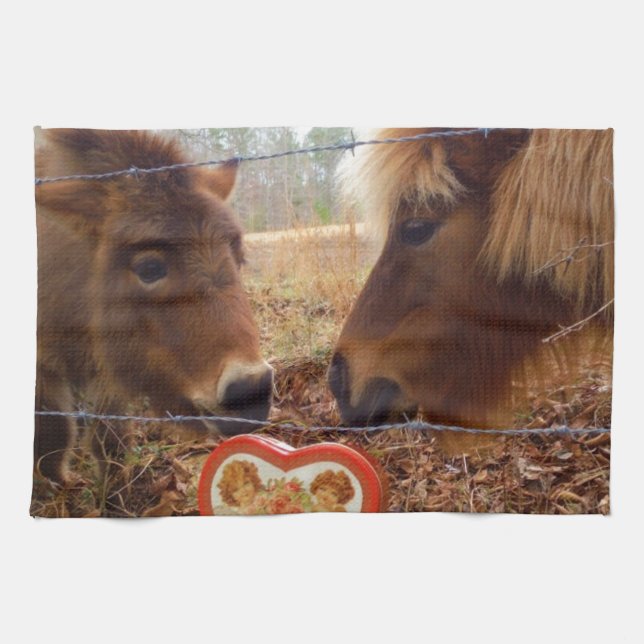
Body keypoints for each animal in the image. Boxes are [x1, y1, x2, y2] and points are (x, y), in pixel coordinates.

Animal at [35, 129, 273, 484]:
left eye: (238, 256)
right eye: (149, 268)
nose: (250, 390)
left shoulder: (109, 366)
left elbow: (110, 435)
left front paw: (117, 486)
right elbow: (51, 433)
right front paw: (58, 485)